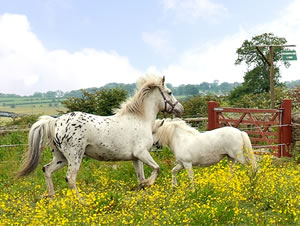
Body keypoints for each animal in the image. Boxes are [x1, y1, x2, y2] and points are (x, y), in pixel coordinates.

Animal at [18, 75, 184, 198]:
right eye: (170, 92)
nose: (180, 109)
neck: (140, 119)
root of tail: (55, 121)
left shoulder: (136, 158)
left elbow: (141, 177)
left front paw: (143, 190)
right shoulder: (141, 153)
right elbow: (157, 168)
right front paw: (147, 184)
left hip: (61, 158)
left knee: (47, 170)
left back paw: (52, 198)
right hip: (75, 157)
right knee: (70, 178)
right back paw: (82, 203)